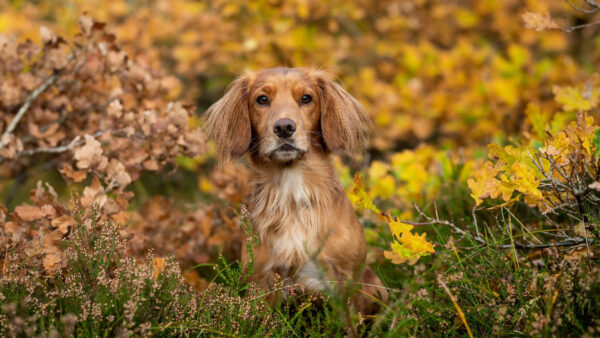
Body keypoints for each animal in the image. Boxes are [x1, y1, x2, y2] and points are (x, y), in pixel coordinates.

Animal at [204, 66, 386, 314]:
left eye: (306, 98)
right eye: (262, 99)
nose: (284, 127)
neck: (292, 192)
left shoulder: (346, 278)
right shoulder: (261, 281)